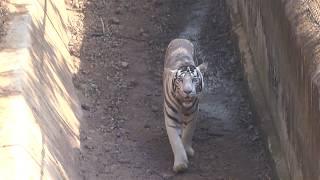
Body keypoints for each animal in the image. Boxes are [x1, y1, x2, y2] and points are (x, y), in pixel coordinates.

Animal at [162, 38, 208, 172]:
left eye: (194, 80)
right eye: (180, 80)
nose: (187, 91)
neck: (183, 105)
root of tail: (180, 39)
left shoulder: (193, 114)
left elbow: (188, 133)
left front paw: (187, 149)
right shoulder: (171, 118)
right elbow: (175, 141)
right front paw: (180, 165)